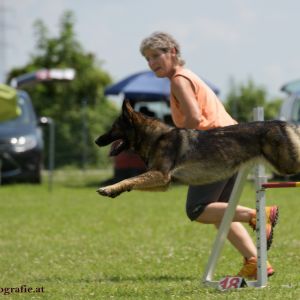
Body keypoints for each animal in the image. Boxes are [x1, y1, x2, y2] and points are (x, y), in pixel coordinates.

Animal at [95, 101, 300, 198]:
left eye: (113, 128)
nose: (97, 140)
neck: (155, 138)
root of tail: (284, 123)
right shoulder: (164, 182)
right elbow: (132, 181)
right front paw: (115, 191)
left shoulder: (160, 175)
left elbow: (129, 178)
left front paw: (108, 188)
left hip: (286, 165)